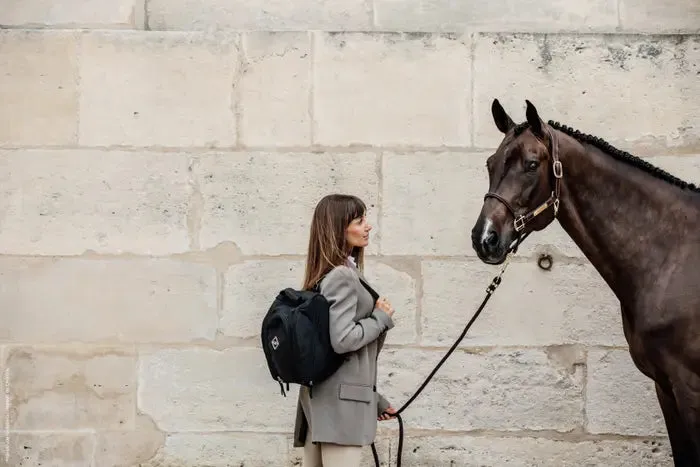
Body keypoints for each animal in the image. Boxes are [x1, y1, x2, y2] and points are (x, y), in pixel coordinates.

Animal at [470, 98, 700, 464]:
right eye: (490, 163)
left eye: (531, 164)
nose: (485, 238)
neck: (673, 255)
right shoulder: (666, 388)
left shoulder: (689, 389)